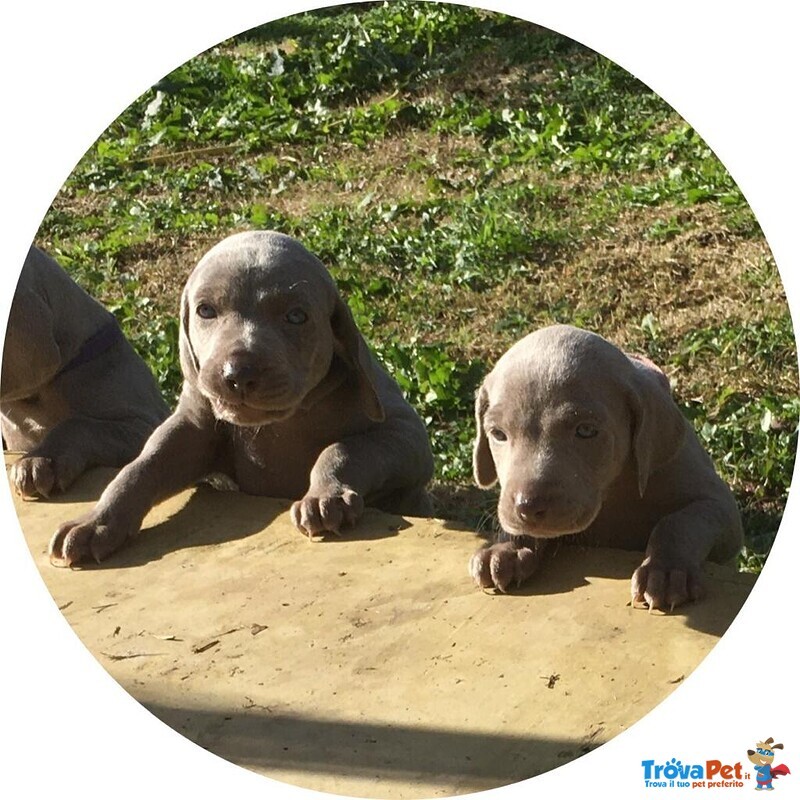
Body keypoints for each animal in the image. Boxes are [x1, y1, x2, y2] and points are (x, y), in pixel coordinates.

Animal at [48, 230, 438, 568]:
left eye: (296, 316)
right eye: (206, 310)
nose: (238, 374)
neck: (283, 422)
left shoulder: (406, 436)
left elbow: (343, 448)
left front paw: (325, 496)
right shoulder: (193, 427)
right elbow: (141, 467)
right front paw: (96, 522)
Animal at [468, 324, 744, 612]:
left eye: (586, 430)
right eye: (498, 434)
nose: (528, 508)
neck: (613, 494)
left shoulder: (719, 507)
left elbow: (678, 522)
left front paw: (666, 572)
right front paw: (508, 549)